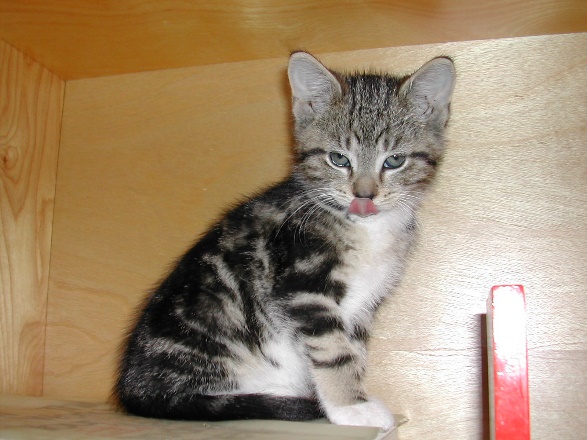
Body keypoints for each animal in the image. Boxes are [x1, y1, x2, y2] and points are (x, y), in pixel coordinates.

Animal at [113, 50, 454, 430]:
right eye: (339, 159)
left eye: (394, 160)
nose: (363, 196)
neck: (364, 229)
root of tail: (133, 390)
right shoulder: (302, 287)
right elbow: (335, 350)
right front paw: (350, 407)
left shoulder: (363, 306)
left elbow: (355, 349)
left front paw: (352, 397)